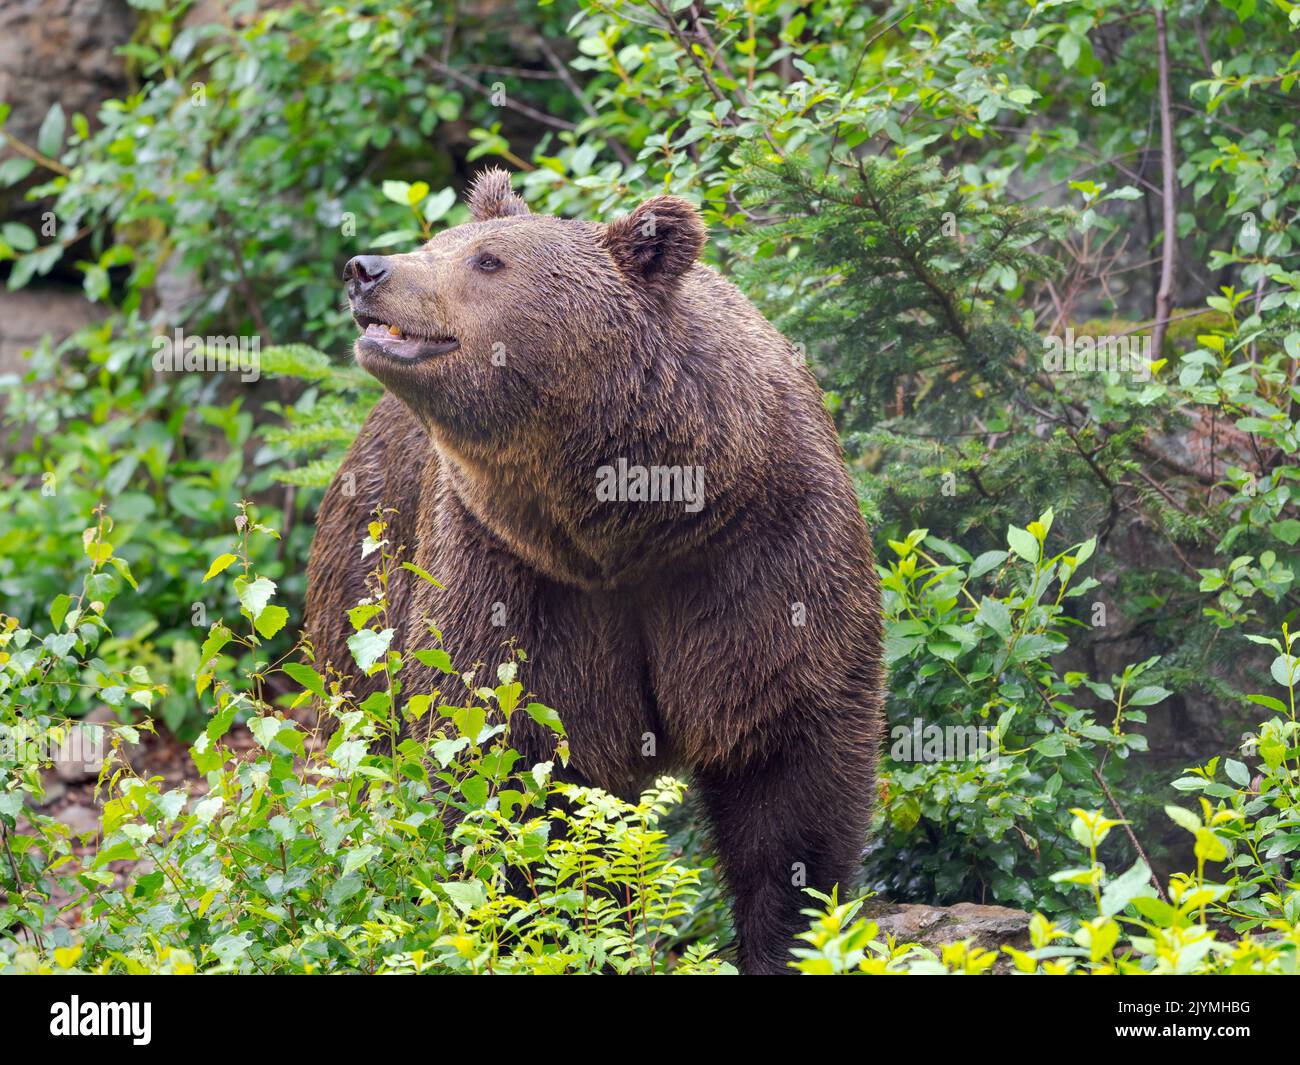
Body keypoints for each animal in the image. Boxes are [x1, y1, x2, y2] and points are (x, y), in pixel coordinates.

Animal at [306, 167, 884, 974]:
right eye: (441, 238)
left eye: (486, 259)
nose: (368, 270)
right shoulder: (510, 569)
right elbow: (516, 760)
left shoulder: (763, 548)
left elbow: (786, 758)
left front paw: (786, 938)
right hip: (367, 578)